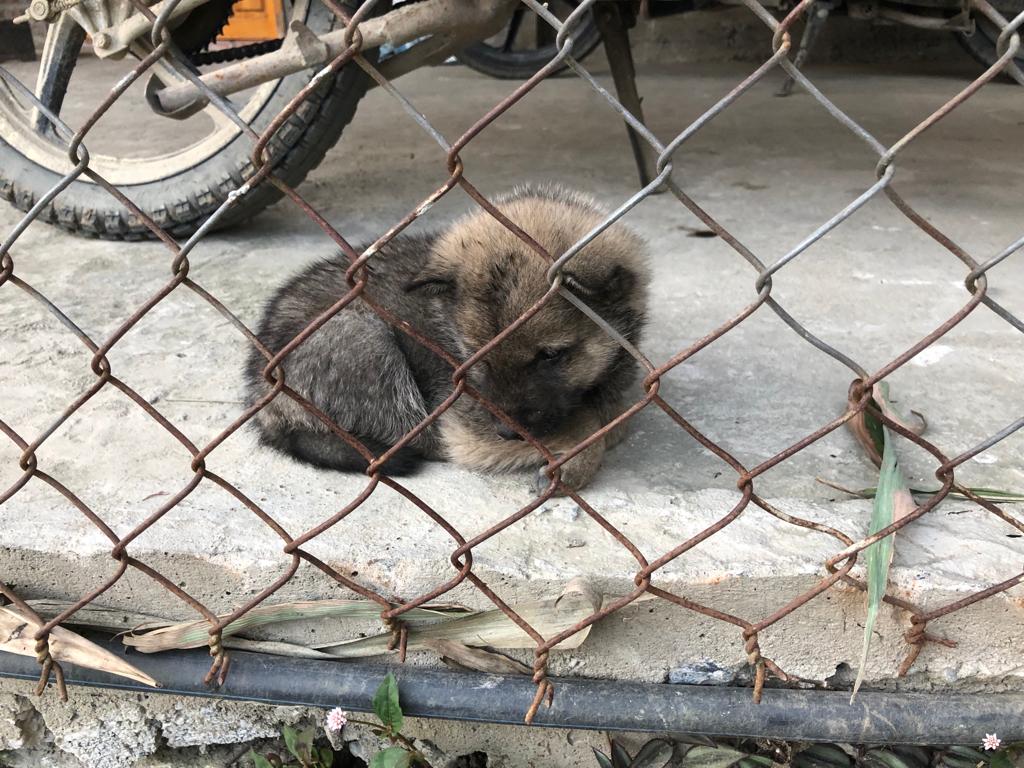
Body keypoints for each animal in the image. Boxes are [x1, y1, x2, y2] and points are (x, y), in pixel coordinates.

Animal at [243, 189, 647, 495]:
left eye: (551, 356)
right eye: (473, 355)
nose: (505, 433)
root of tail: (262, 396)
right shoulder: (459, 413)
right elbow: (593, 422)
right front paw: (576, 459)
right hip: (365, 337)